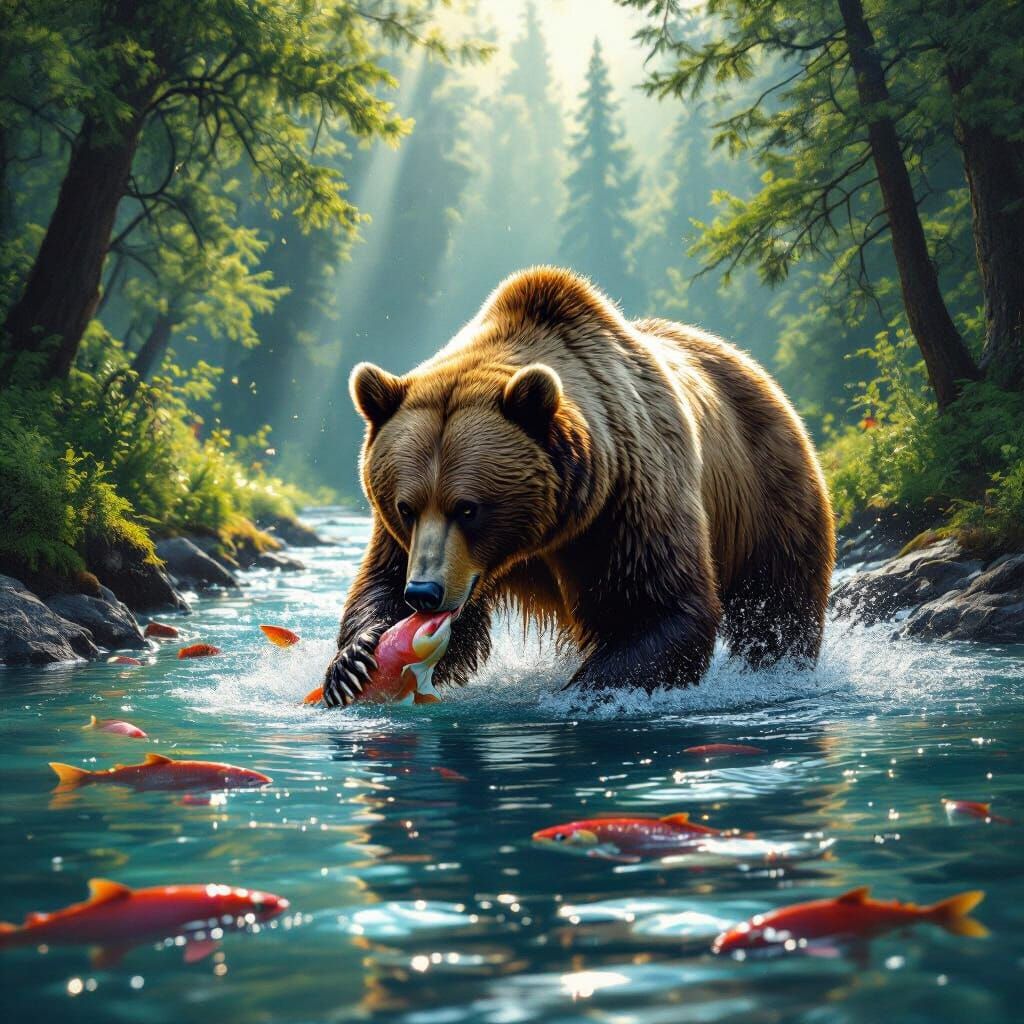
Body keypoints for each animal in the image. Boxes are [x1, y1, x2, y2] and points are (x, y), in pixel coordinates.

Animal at [321, 267, 835, 706]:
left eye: (467, 507)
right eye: (406, 507)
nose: (424, 593)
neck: (544, 531)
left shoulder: (628, 498)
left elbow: (656, 607)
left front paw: (582, 692)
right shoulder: (415, 542)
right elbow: (383, 582)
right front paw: (352, 663)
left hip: (768, 488)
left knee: (778, 600)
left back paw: (778, 667)